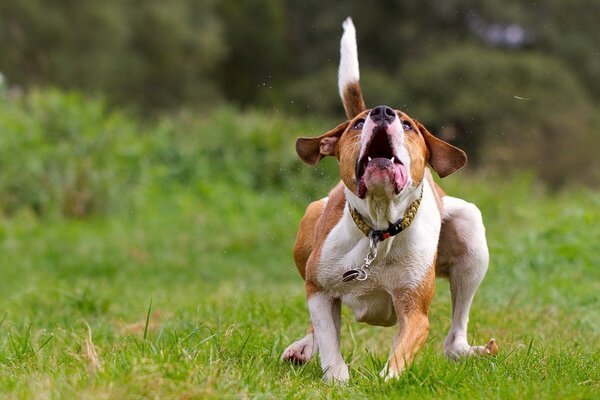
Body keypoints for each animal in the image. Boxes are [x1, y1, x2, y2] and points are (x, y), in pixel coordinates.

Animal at [282, 18, 496, 382]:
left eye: (408, 125)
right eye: (357, 124)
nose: (382, 112)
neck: (379, 232)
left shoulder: (415, 312)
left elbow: (400, 354)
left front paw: (384, 382)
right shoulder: (320, 289)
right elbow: (328, 338)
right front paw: (338, 379)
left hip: (470, 231)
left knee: (453, 340)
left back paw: (470, 351)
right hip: (308, 228)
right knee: (315, 325)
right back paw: (302, 348)